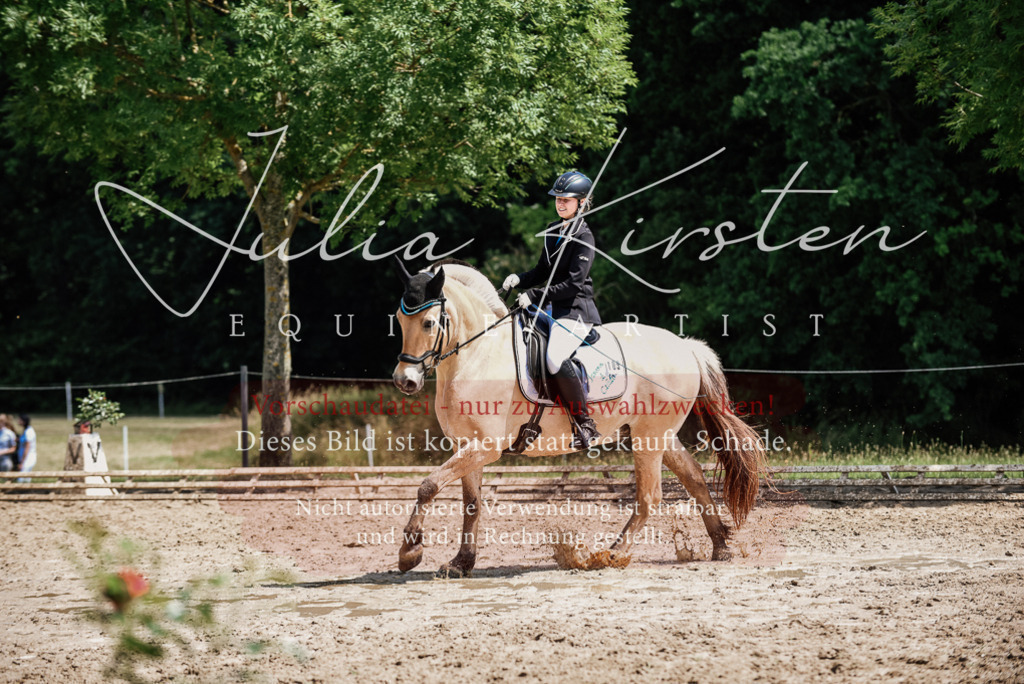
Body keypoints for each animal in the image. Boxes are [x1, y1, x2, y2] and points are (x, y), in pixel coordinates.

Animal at [391, 259, 767, 576]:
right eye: (399, 319)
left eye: (428, 322)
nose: (404, 381)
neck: (477, 355)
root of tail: (686, 345)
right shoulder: (467, 445)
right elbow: (471, 503)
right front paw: (461, 563)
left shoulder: (486, 447)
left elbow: (428, 485)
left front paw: (410, 553)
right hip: (657, 435)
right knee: (693, 477)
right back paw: (720, 545)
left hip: (649, 437)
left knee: (649, 497)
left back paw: (612, 554)